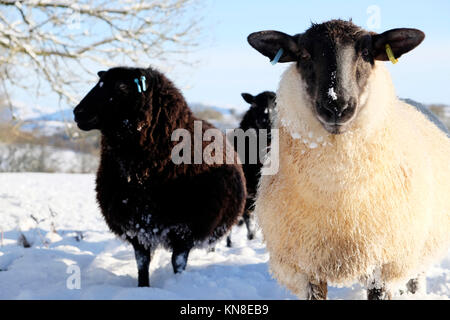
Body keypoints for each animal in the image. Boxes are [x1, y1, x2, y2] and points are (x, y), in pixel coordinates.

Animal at [75, 66, 248, 286]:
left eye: (122, 87)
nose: (78, 112)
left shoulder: (186, 228)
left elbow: (178, 262)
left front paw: (178, 282)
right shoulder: (136, 226)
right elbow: (142, 263)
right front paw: (143, 287)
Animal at [248, 20, 448, 300]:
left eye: (366, 53)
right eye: (304, 55)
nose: (336, 106)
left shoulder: (384, 266)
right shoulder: (306, 268)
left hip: (416, 249)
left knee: (415, 278)